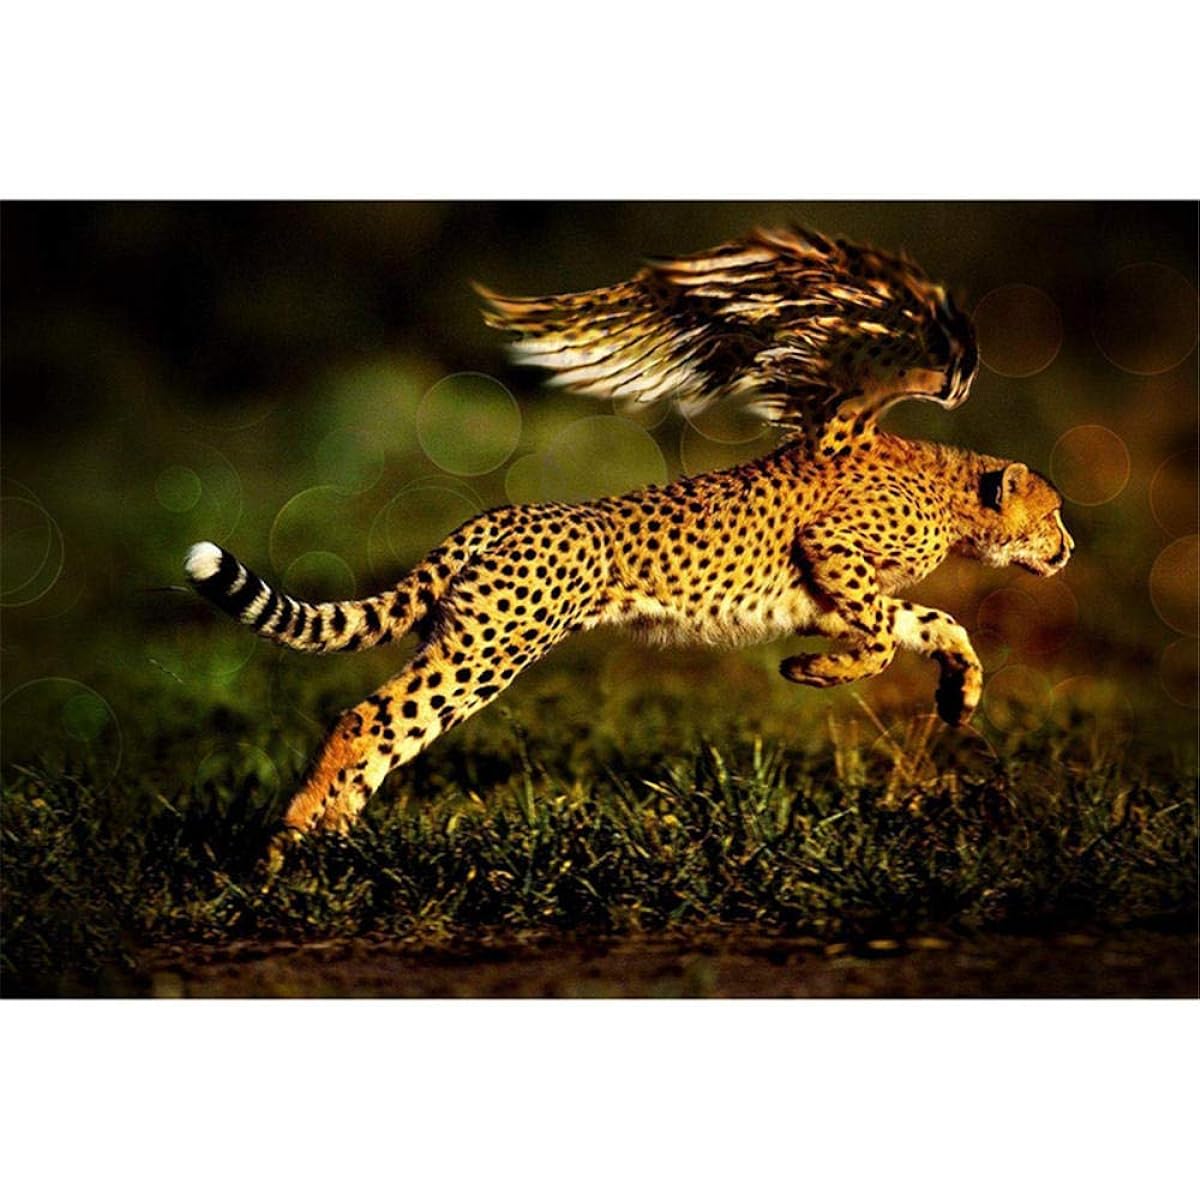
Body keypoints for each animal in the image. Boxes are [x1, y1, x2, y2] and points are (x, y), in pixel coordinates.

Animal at [185, 225, 1073, 843]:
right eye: (1055, 513)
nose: (1067, 549)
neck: (947, 489)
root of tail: (505, 513)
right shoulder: (832, 551)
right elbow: (886, 637)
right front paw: (813, 672)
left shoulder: (835, 594)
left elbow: (934, 623)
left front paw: (959, 694)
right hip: (491, 648)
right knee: (368, 718)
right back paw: (289, 842)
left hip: (467, 639)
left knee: (388, 728)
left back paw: (331, 837)